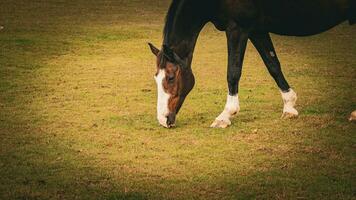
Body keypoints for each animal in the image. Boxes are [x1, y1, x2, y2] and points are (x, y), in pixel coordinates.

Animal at [148, 0, 356, 128]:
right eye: (156, 78)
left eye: (170, 77)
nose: (163, 119)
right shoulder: (257, 30)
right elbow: (273, 65)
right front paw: (289, 106)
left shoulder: (237, 28)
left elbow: (233, 72)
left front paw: (225, 115)